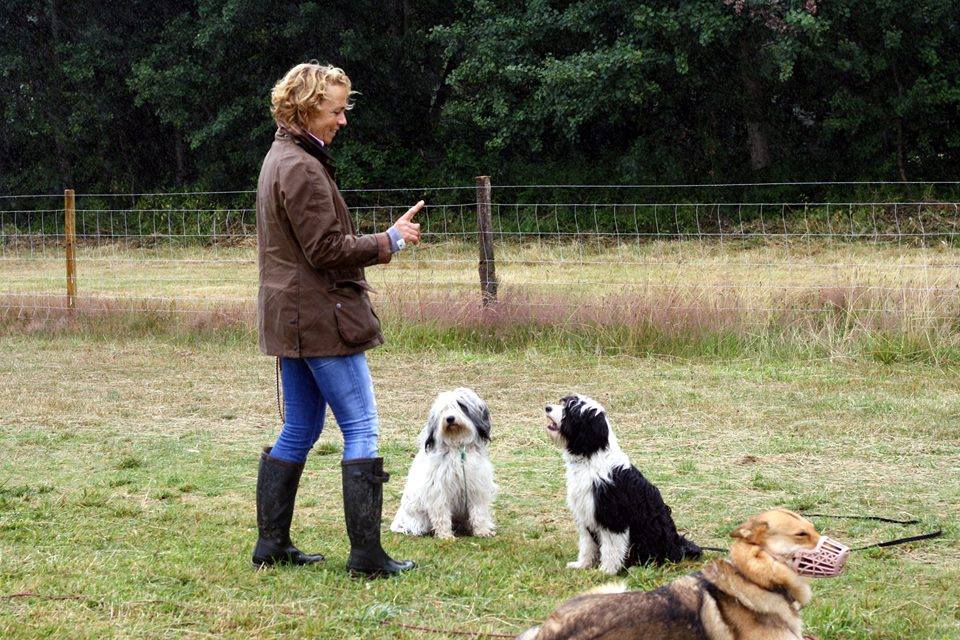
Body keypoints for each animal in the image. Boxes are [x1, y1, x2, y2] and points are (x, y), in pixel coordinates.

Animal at [390, 388, 498, 539]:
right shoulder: (438, 489)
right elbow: (441, 514)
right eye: (443, 410)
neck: (458, 447)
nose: (450, 418)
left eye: (461, 405)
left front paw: (482, 531)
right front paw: (446, 536)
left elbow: (479, 512)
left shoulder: (477, 486)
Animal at [516, 508, 849, 640]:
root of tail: (549, 631)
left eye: (813, 529)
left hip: (617, 586)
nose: (847, 553)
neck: (755, 578)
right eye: (801, 535)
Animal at [545, 394, 701, 574]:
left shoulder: (612, 516)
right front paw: (582, 565)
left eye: (570, 411)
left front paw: (606, 571)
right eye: (564, 402)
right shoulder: (585, 514)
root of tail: (677, 547)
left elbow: (611, 548)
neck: (591, 458)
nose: (547, 408)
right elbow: (587, 545)